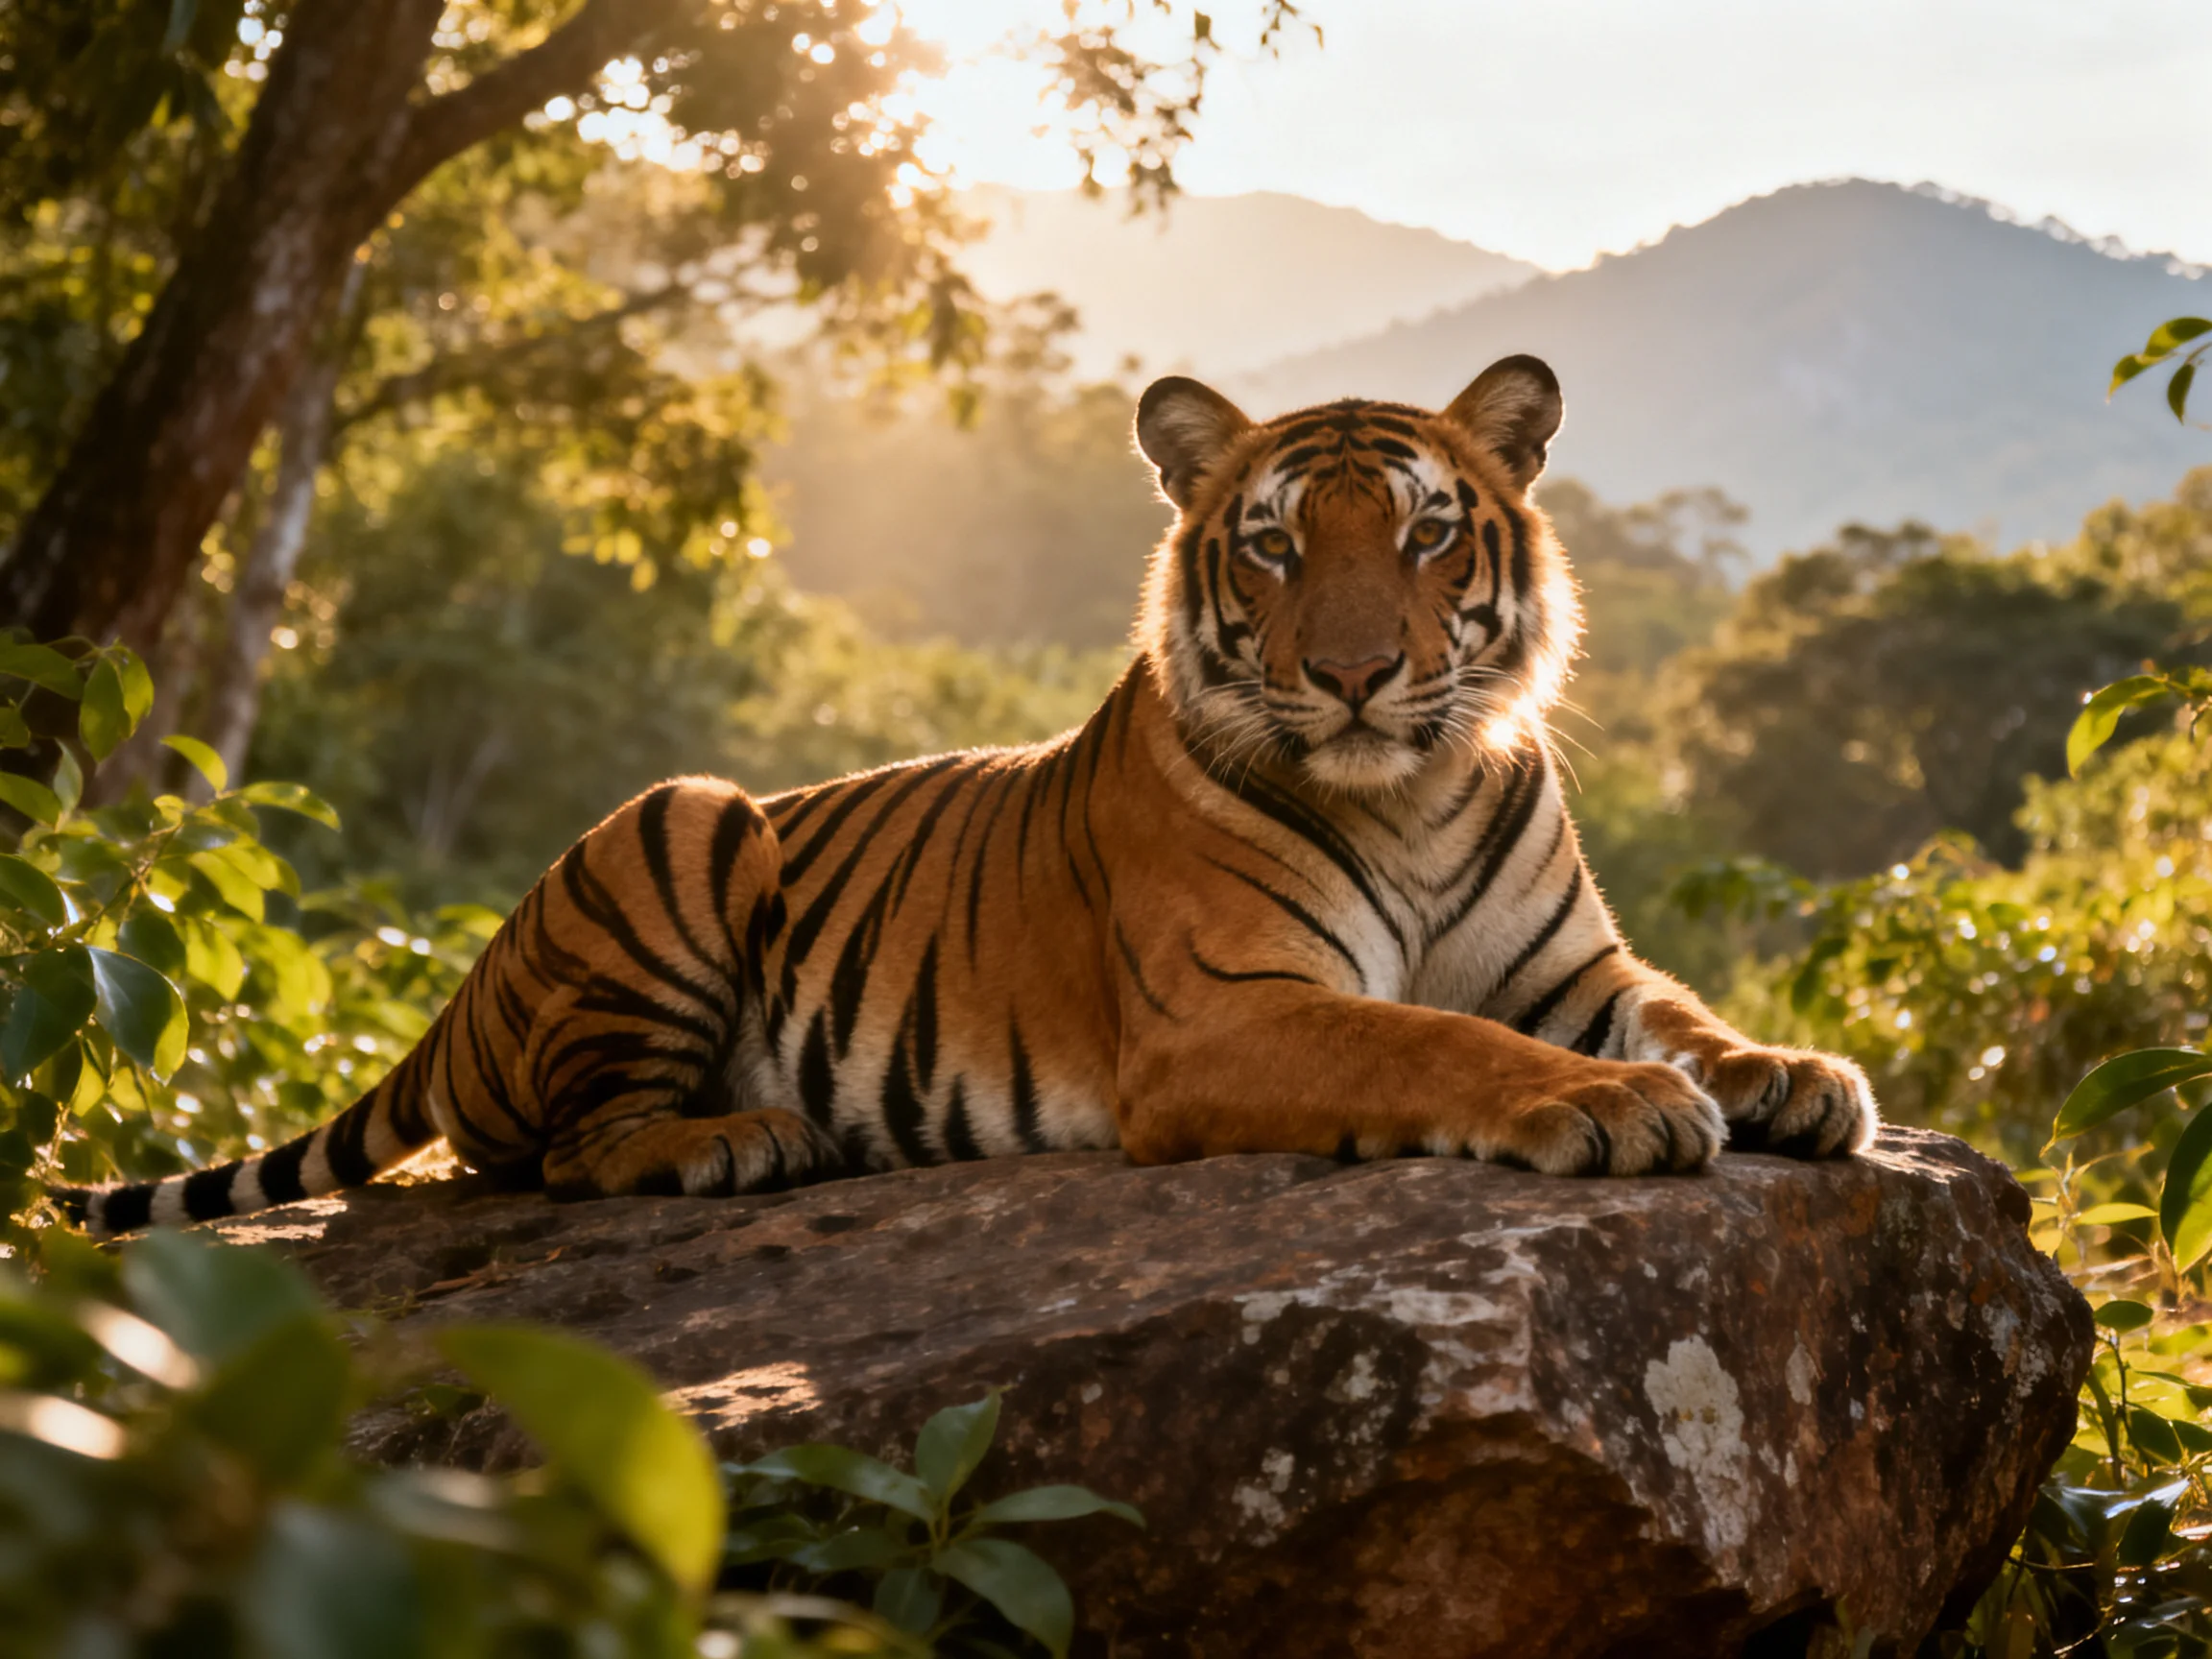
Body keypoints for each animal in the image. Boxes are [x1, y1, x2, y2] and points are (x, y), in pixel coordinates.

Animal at [59, 354, 1875, 1238]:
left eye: (1428, 532)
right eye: (1279, 545)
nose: (1359, 674)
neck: (1412, 791)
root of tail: (461, 993)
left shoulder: (1575, 968)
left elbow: (1686, 1014)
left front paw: (1787, 1076)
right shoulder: (1226, 1012)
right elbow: (1427, 1038)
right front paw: (1614, 1106)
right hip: (686, 813)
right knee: (561, 1155)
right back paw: (744, 1139)